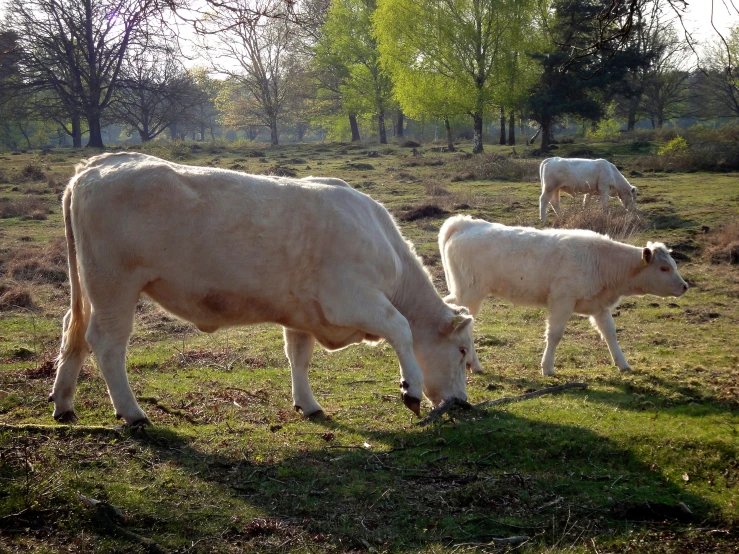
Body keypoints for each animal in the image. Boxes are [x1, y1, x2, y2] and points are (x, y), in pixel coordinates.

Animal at [53, 153, 480, 424]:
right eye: (461, 351)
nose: (463, 403)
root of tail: (97, 164)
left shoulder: (303, 314)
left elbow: (299, 357)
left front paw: (308, 404)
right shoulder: (353, 300)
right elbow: (401, 329)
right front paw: (411, 388)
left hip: (91, 289)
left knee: (72, 332)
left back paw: (63, 404)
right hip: (114, 285)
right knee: (107, 343)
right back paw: (132, 413)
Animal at [440, 216, 688, 376]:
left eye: (674, 264)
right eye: (664, 268)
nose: (685, 286)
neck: (602, 261)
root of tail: (465, 224)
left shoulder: (599, 306)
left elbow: (610, 333)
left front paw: (623, 364)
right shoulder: (562, 301)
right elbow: (555, 335)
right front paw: (547, 368)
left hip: (461, 291)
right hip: (471, 293)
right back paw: (475, 364)